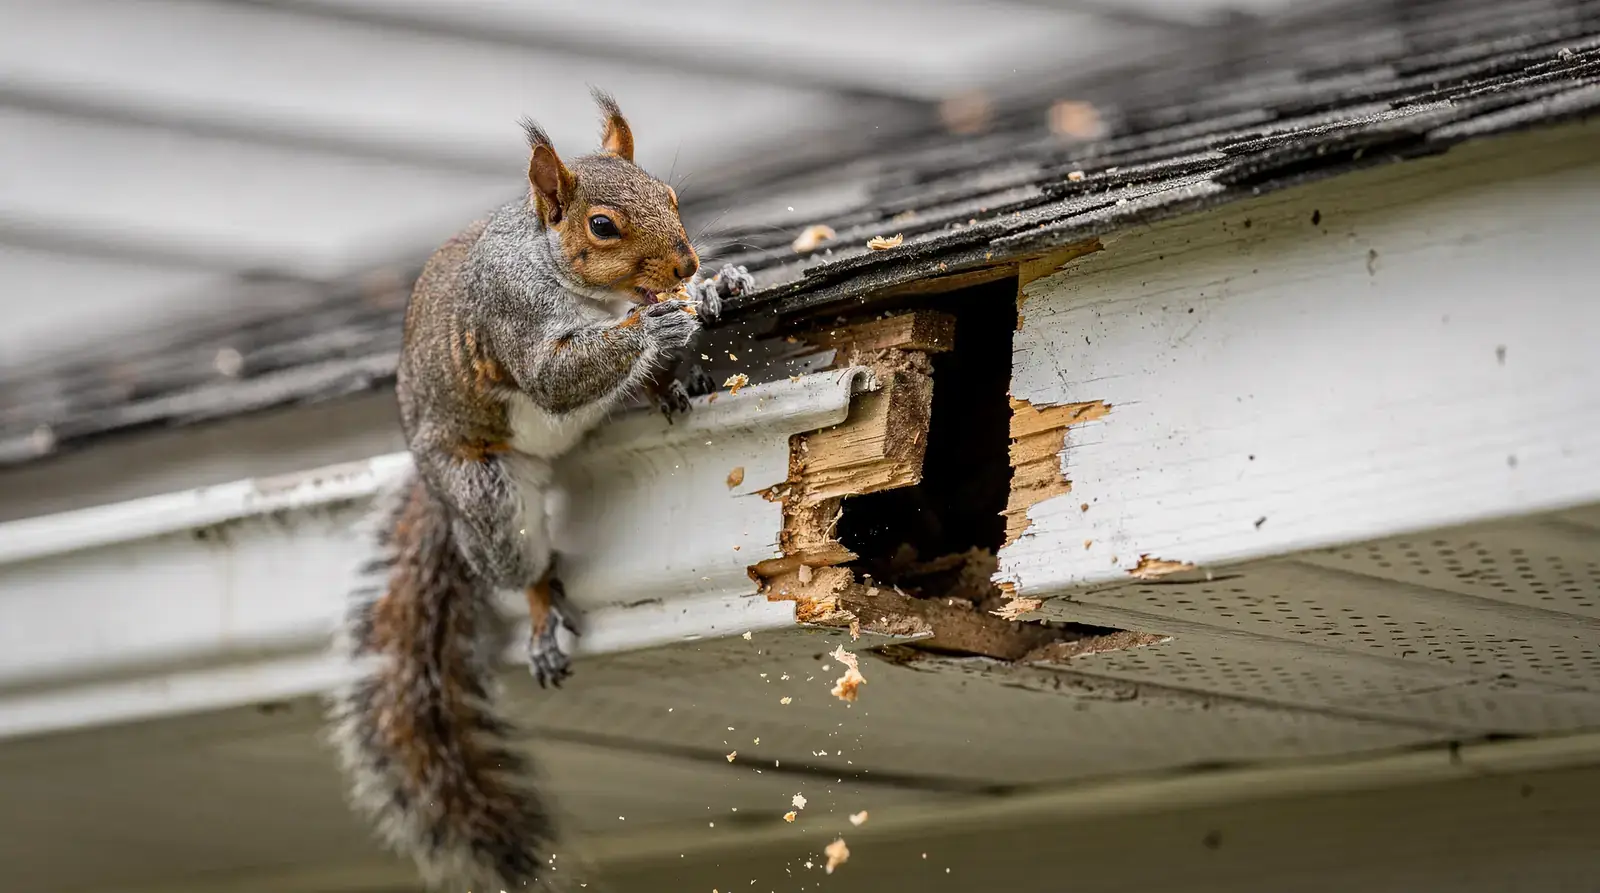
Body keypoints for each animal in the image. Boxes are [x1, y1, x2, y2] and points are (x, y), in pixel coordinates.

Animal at [328, 89, 755, 892]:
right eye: (602, 225)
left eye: (672, 195)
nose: (687, 260)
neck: (580, 285)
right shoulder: (514, 319)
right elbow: (557, 374)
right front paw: (654, 322)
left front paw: (718, 287)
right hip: (488, 495)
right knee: (518, 563)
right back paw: (540, 614)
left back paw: (668, 386)